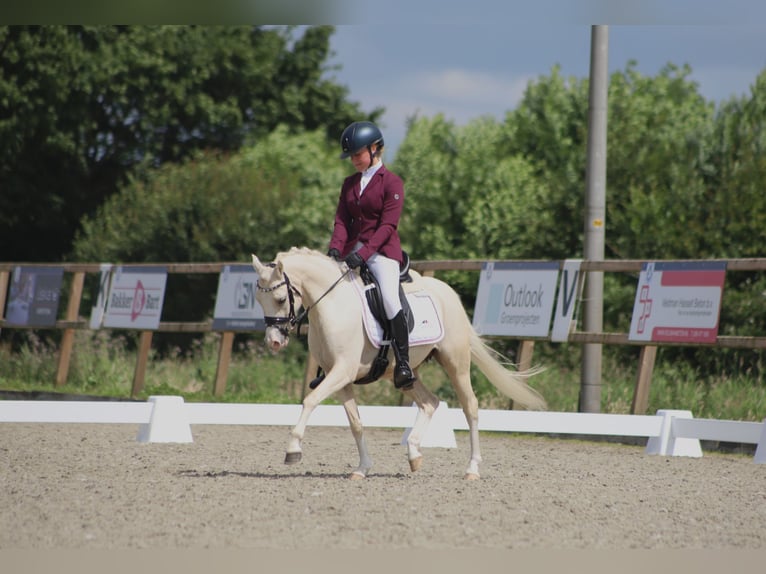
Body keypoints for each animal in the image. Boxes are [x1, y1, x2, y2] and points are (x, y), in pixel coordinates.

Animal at [252, 248, 544, 482]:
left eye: (280, 299)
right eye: (258, 300)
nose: (274, 342)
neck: (334, 306)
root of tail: (448, 292)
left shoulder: (342, 371)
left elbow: (310, 401)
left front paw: (293, 450)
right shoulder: (341, 379)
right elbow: (355, 423)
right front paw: (362, 469)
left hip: (456, 363)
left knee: (470, 407)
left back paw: (472, 469)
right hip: (403, 373)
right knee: (430, 402)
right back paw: (414, 454)